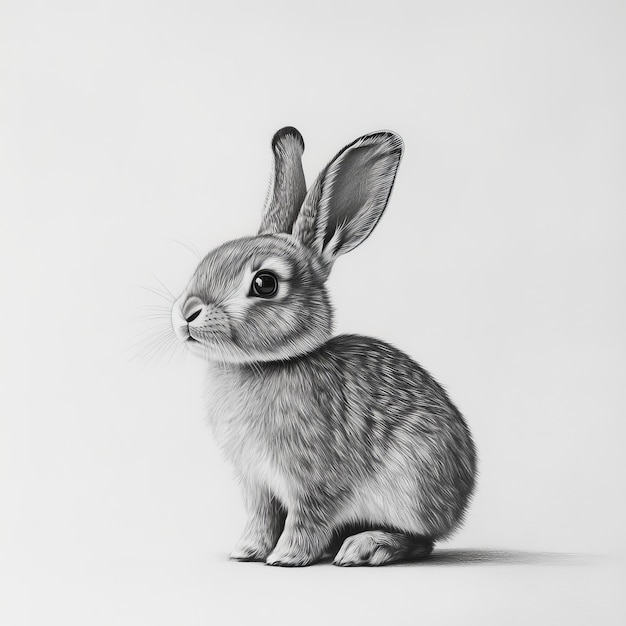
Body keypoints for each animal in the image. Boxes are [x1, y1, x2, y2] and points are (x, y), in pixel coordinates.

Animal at [169, 127, 472, 564]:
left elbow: (306, 518)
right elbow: (261, 518)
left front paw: (286, 557)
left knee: (422, 540)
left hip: (411, 484)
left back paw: (366, 547)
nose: (186, 313)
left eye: (264, 283)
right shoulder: (257, 483)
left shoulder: (313, 478)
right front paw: (246, 551)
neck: (269, 364)